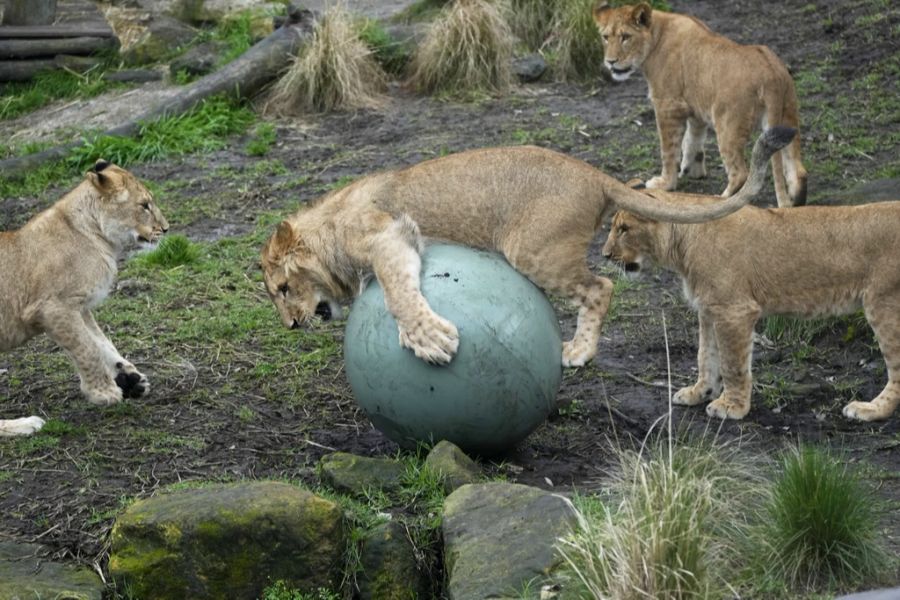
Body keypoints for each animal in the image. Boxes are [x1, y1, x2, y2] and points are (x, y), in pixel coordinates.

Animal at [0, 159, 169, 436]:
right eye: (144, 205)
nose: (166, 229)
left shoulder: (80, 308)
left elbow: (102, 342)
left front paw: (131, 379)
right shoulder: (52, 308)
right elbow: (87, 348)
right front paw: (104, 392)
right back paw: (24, 425)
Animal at [260, 127, 796, 366]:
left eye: (283, 288)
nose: (289, 326)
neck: (328, 225)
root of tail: (593, 175)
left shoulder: (389, 234)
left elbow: (397, 293)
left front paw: (428, 339)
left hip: (533, 250)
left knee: (600, 287)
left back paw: (578, 353)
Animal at [592, 2, 808, 207]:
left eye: (626, 37)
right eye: (605, 37)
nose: (610, 62)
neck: (656, 35)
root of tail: (770, 73)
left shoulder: (667, 106)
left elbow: (668, 149)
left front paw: (666, 182)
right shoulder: (695, 107)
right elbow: (692, 139)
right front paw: (692, 169)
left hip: (728, 125)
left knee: (740, 173)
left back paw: (721, 200)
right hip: (788, 118)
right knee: (798, 170)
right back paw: (797, 201)